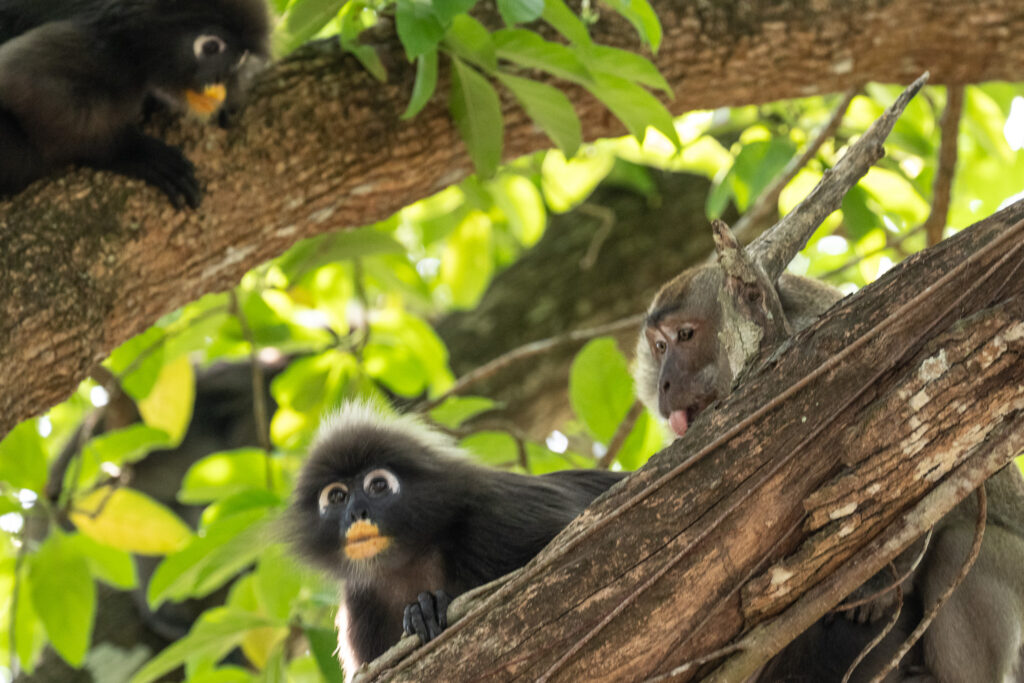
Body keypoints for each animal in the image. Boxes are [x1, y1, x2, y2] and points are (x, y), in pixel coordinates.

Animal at [0, 0, 270, 208]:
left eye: (239, 58)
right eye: (211, 46)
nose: (219, 79)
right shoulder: (101, 47)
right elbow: (20, 81)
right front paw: (131, 152)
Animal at [285, 401, 628, 678]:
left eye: (378, 485)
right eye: (337, 497)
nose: (357, 512)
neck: (413, 556)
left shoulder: (501, 515)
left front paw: (429, 605)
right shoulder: (360, 605)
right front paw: (422, 610)